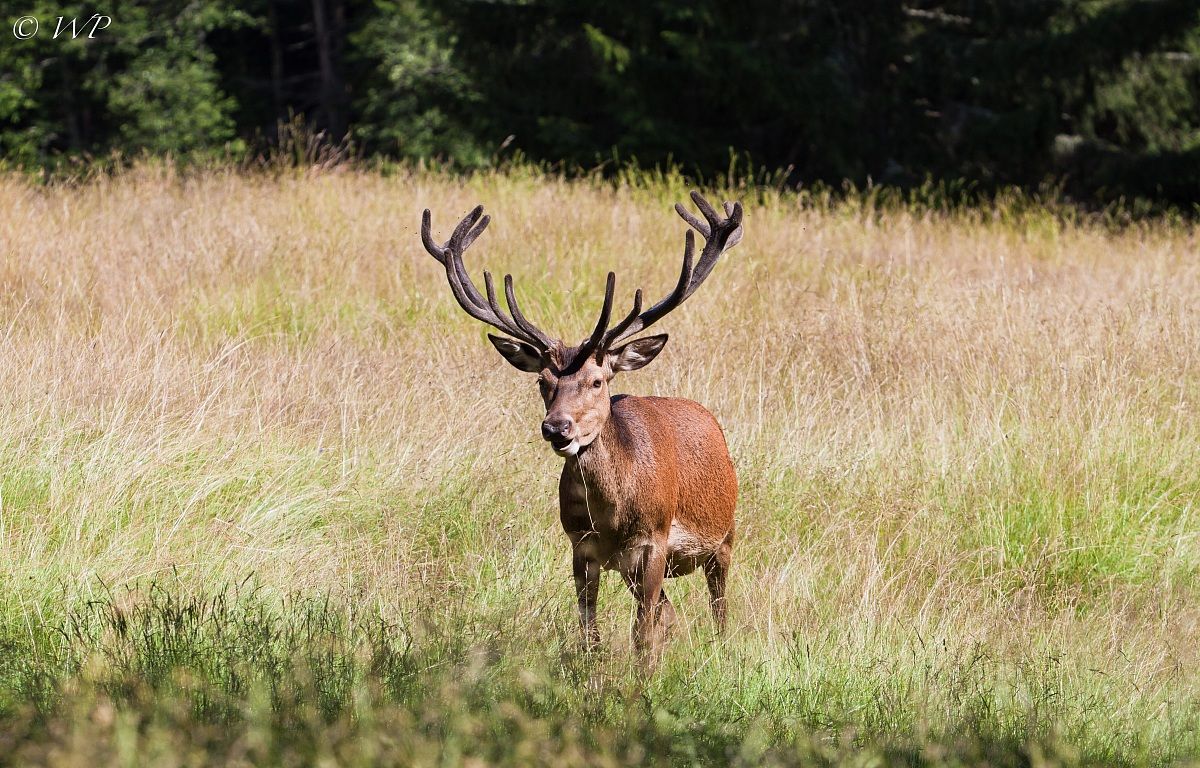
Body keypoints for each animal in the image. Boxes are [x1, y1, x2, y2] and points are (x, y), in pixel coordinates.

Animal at [420, 192, 742, 663]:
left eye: (597, 380)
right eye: (543, 382)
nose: (557, 428)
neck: (612, 516)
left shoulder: (654, 539)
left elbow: (640, 635)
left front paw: (642, 679)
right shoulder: (581, 546)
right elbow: (591, 634)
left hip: (725, 535)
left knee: (718, 608)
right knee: (671, 614)